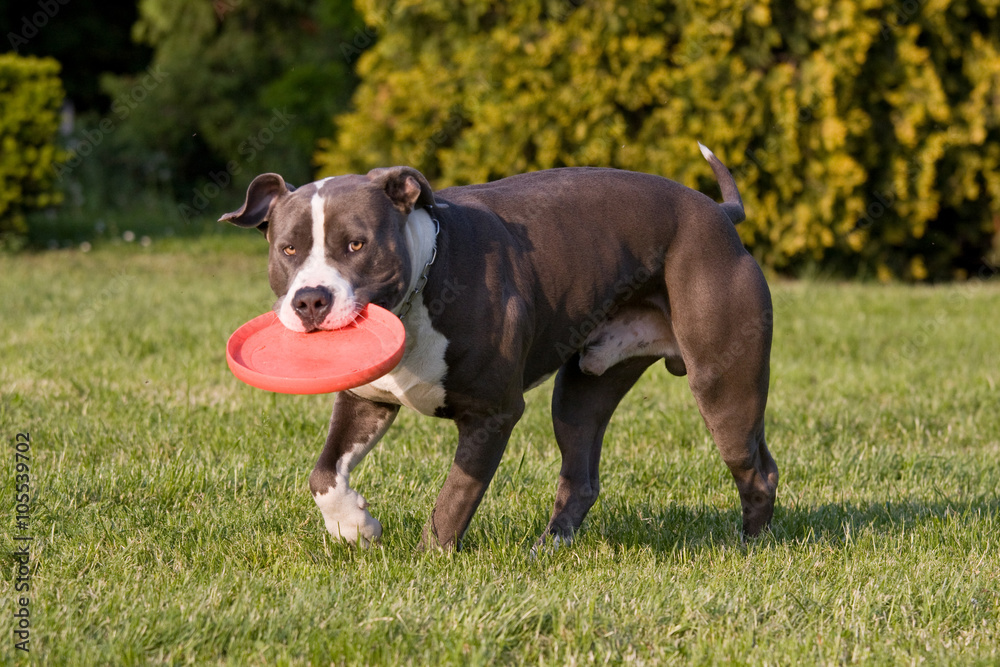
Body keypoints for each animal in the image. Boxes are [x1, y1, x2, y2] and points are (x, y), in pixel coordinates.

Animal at [223, 144, 776, 552]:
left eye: (357, 245)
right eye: (288, 249)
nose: (310, 299)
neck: (424, 284)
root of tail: (718, 213)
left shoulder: (493, 413)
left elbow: (454, 498)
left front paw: (429, 561)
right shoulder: (366, 400)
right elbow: (323, 474)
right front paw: (353, 527)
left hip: (723, 383)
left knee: (756, 467)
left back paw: (750, 546)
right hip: (583, 389)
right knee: (580, 475)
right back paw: (548, 550)